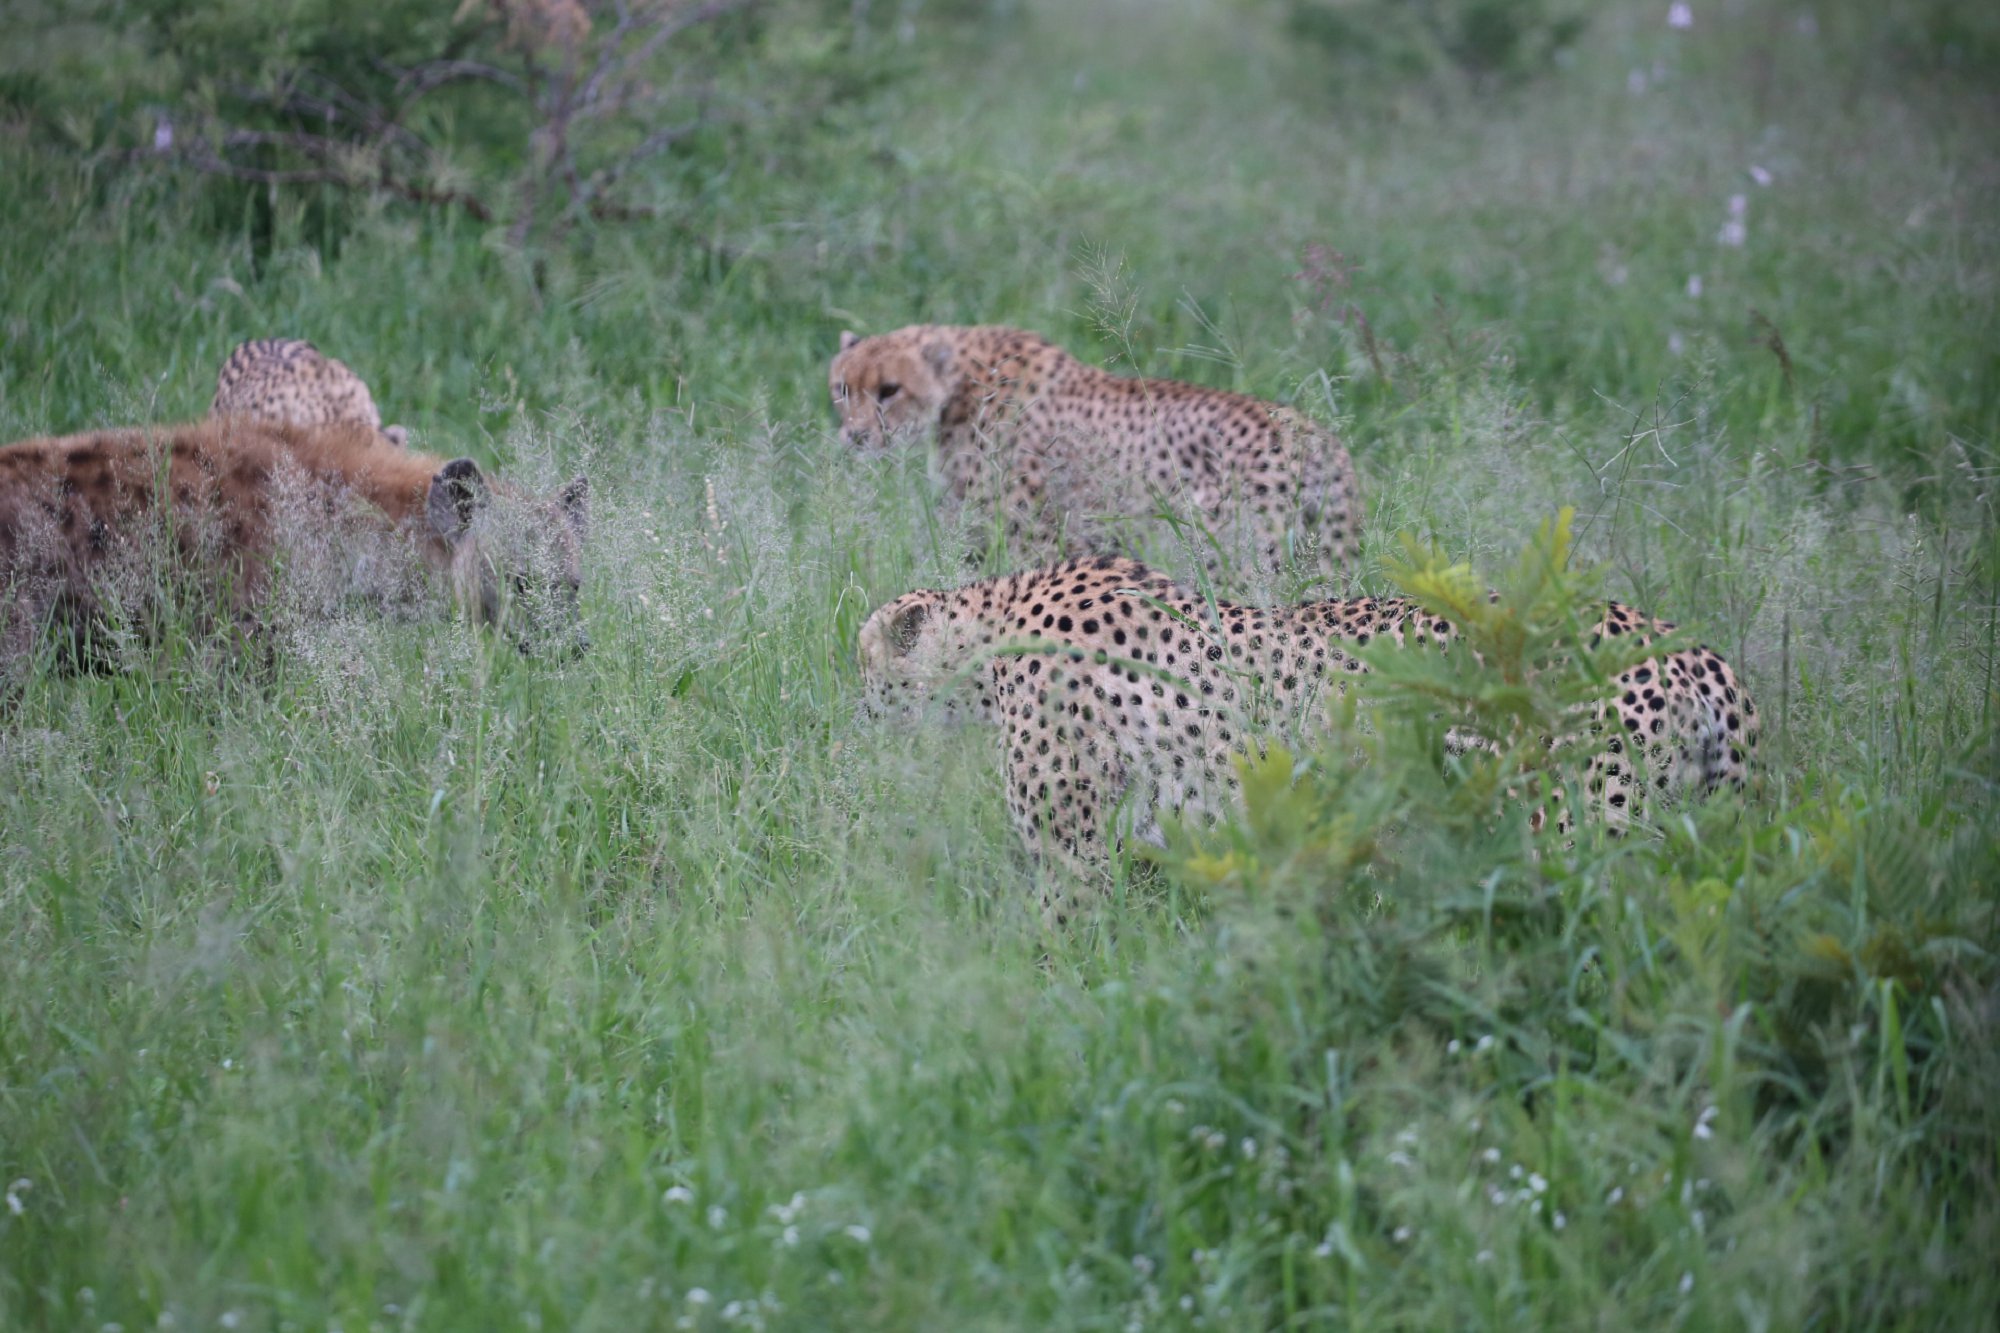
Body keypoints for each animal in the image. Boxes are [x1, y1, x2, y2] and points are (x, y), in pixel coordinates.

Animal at [828, 324, 1360, 580]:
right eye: (842, 389)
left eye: (890, 390)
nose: (855, 436)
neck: (960, 385)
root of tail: (1312, 431)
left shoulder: (1035, 536)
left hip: (1235, 556)